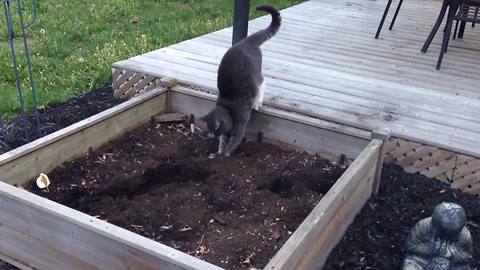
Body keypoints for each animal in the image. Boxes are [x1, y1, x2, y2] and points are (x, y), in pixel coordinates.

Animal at [200, 4, 282, 156]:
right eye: (210, 131)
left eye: (215, 131)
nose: (211, 136)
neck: (228, 109)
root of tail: (245, 42)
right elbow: (224, 141)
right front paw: (219, 152)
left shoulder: (239, 124)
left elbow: (234, 140)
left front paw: (225, 154)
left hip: (255, 74)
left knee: (262, 82)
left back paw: (257, 102)